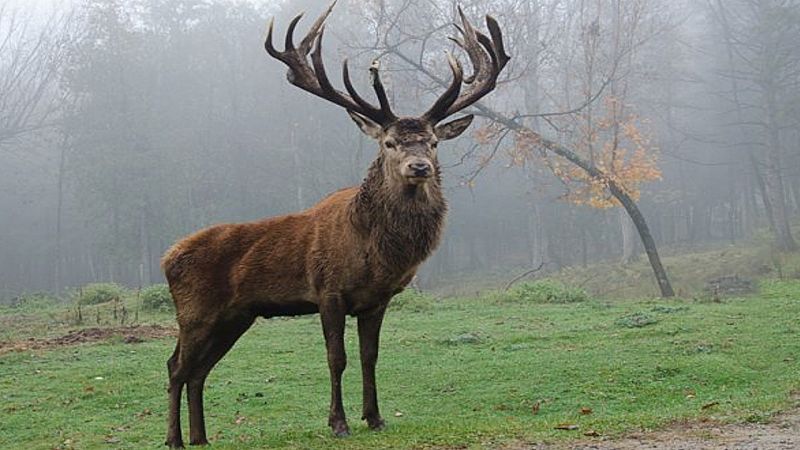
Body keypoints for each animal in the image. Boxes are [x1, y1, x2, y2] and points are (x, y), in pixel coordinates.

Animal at [162, 2, 510, 446]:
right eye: (389, 143)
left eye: (433, 142)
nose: (420, 167)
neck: (374, 252)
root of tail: (167, 258)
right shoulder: (327, 291)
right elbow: (336, 358)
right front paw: (338, 422)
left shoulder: (377, 299)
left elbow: (370, 356)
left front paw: (375, 417)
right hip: (194, 311)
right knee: (176, 366)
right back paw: (174, 438)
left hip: (234, 317)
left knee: (199, 371)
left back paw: (201, 437)